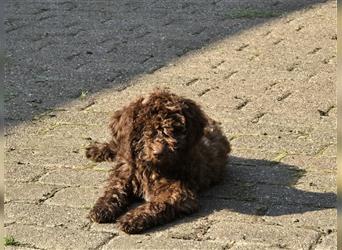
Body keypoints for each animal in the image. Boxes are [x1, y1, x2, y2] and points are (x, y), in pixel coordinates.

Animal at [84, 89, 231, 233]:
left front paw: (132, 219)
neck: (151, 168)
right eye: (145, 129)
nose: (159, 152)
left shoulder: (178, 192)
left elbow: (156, 204)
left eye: (174, 130)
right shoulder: (125, 174)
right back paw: (97, 150)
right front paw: (101, 208)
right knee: (118, 145)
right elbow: (113, 190)